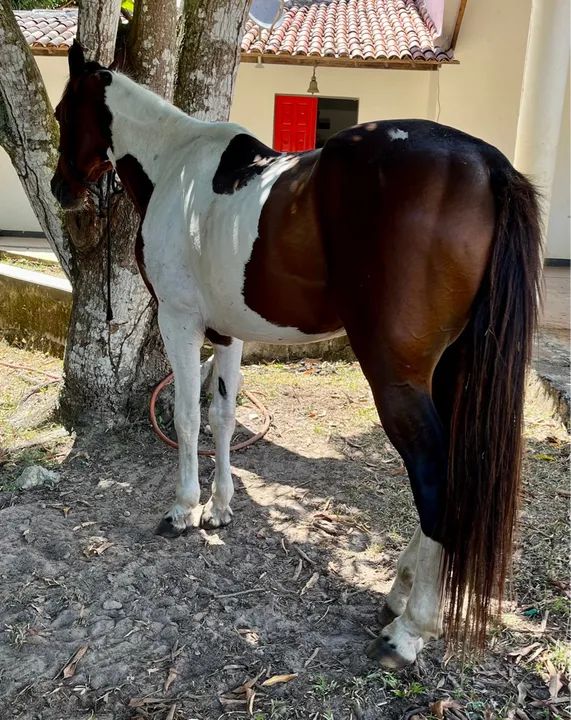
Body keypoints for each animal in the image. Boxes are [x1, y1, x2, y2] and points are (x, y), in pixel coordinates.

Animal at [51, 40, 542, 668]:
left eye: (64, 113)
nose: (61, 189)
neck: (175, 166)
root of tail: (487, 166)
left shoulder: (179, 322)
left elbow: (185, 419)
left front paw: (184, 510)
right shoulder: (227, 333)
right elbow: (222, 416)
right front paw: (220, 507)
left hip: (398, 375)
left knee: (434, 473)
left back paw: (409, 630)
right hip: (452, 369)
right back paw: (398, 592)